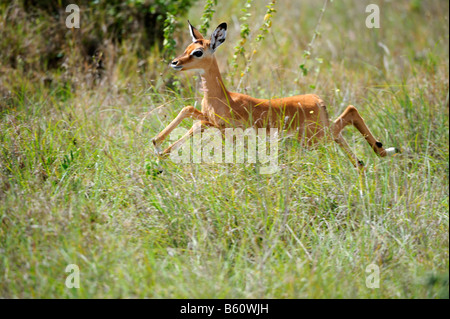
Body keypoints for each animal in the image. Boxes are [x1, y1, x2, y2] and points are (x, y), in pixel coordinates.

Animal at [153, 21, 400, 169]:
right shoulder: (210, 120)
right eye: (186, 48)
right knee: (348, 120)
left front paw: (159, 148)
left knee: (349, 114)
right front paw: (159, 147)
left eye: (197, 52)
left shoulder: (223, 127)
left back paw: (384, 151)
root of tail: (318, 100)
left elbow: (196, 122)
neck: (223, 98)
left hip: (315, 137)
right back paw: (368, 159)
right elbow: (188, 112)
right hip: (320, 135)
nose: (175, 62)